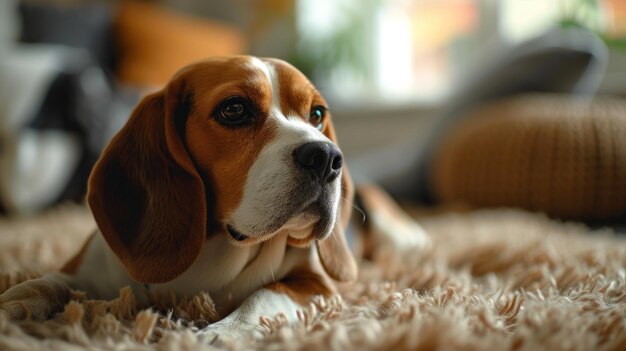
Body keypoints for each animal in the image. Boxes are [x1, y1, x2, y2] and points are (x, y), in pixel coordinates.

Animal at [0, 57, 426, 340]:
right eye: (234, 109)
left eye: (317, 114)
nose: (327, 157)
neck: (214, 246)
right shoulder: (86, 269)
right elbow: (41, 283)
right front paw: (13, 307)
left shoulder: (319, 287)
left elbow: (265, 296)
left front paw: (223, 333)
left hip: (398, 239)